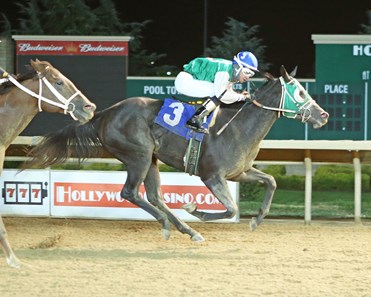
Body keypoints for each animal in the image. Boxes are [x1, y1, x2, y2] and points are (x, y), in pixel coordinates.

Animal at [25, 66, 328, 242]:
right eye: (300, 92)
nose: (323, 115)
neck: (237, 126)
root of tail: (106, 113)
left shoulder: (239, 172)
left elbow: (271, 182)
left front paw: (256, 220)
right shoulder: (212, 176)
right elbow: (231, 208)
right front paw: (197, 210)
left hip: (151, 160)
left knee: (154, 196)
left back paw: (186, 230)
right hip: (139, 156)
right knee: (130, 192)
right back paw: (173, 225)